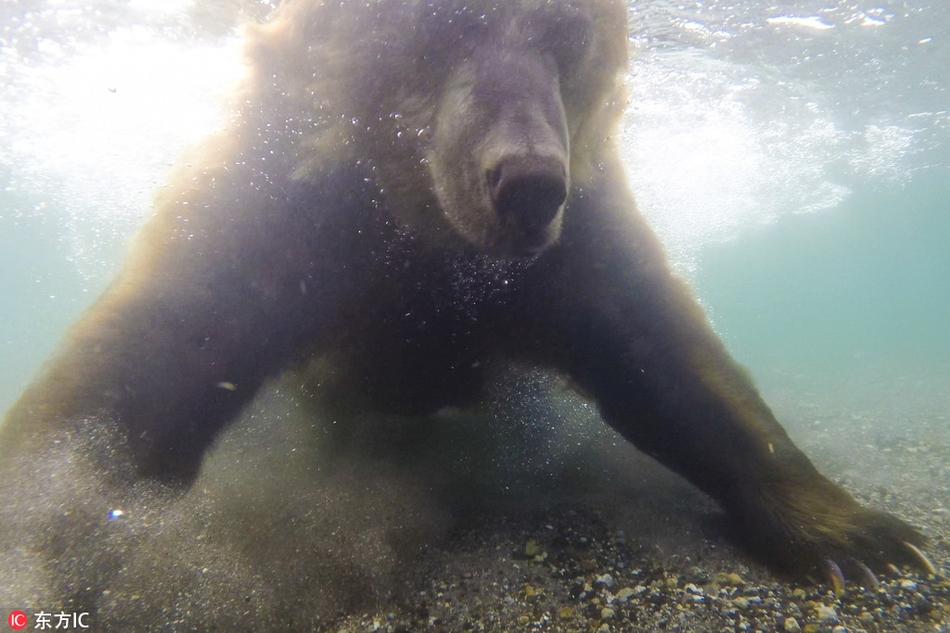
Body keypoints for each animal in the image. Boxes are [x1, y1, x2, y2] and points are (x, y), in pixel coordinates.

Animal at [0, 0, 932, 592]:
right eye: (446, 23)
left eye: (567, 34)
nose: (527, 184)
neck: (421, 226)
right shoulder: (292, 208)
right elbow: (149, 363)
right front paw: (41, 521)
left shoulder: (575, 233)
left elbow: (666, 357)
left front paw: (866, 535)